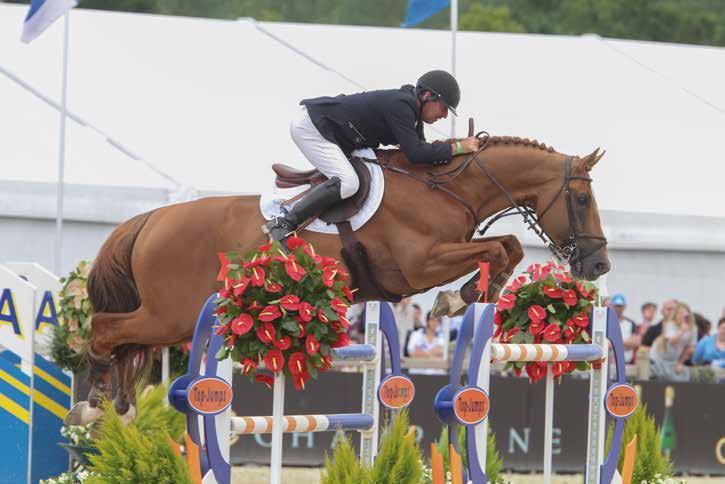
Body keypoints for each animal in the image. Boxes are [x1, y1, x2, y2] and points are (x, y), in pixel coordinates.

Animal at [69, 135, 612, 424]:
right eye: (583, 199)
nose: (598, 267)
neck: (445, 188)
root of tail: (151, 219)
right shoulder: (421, 263)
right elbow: (498, 248)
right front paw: (456, 300)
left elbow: (509, 247)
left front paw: (475, 294)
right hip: (171, 315)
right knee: (104, 330)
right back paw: (92, 406)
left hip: (168, 317)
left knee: (121, 342)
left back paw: (114, 407)